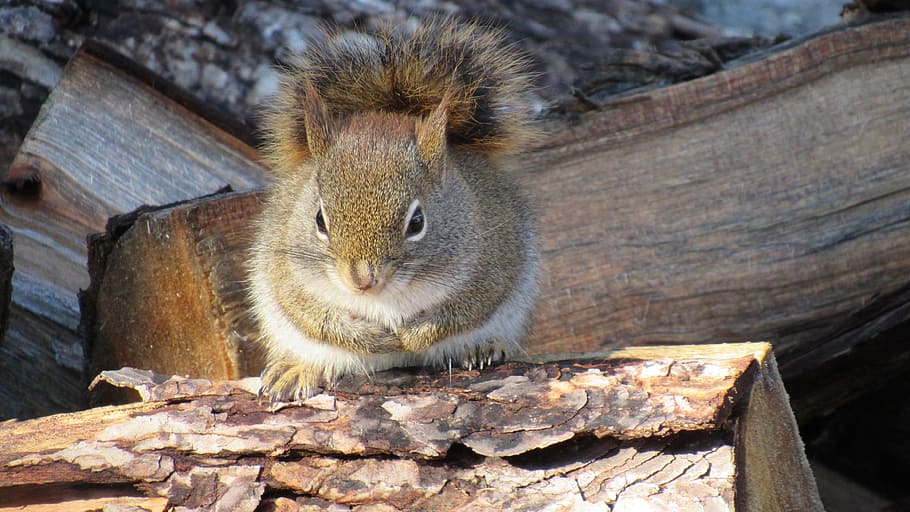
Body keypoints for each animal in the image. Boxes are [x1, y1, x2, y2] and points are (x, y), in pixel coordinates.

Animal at [248, 17, 542, 402]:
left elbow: (468, 307)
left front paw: (414, 336)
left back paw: (482, 347)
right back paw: (297, 369)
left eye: (417, 222)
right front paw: (372, 338)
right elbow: (309, 312)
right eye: (319, 219)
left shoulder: (494, 257)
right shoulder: (284, 265)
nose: (362, 280)